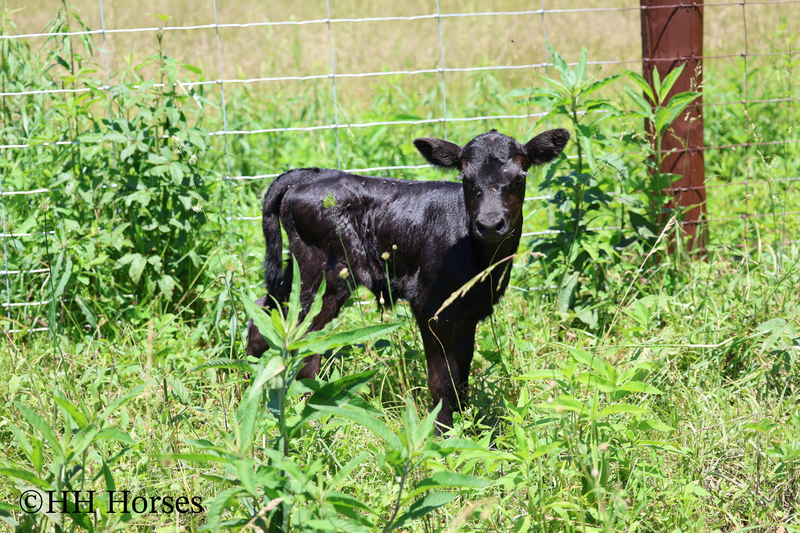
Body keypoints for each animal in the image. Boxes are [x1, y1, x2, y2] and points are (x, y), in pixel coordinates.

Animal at [247, 128, 570, 433]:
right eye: (465, 179)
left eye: (519, 178)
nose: (490, 224)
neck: (480, 262)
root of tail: (314, 174)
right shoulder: (431, 308)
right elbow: (442, 380)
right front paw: (442, 435)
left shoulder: (470, 312)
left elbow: (462, 375)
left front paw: (465, 425)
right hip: (324, 274)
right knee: (304, 342)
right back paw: (309, 417)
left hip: (298, 269)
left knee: (266, 310)